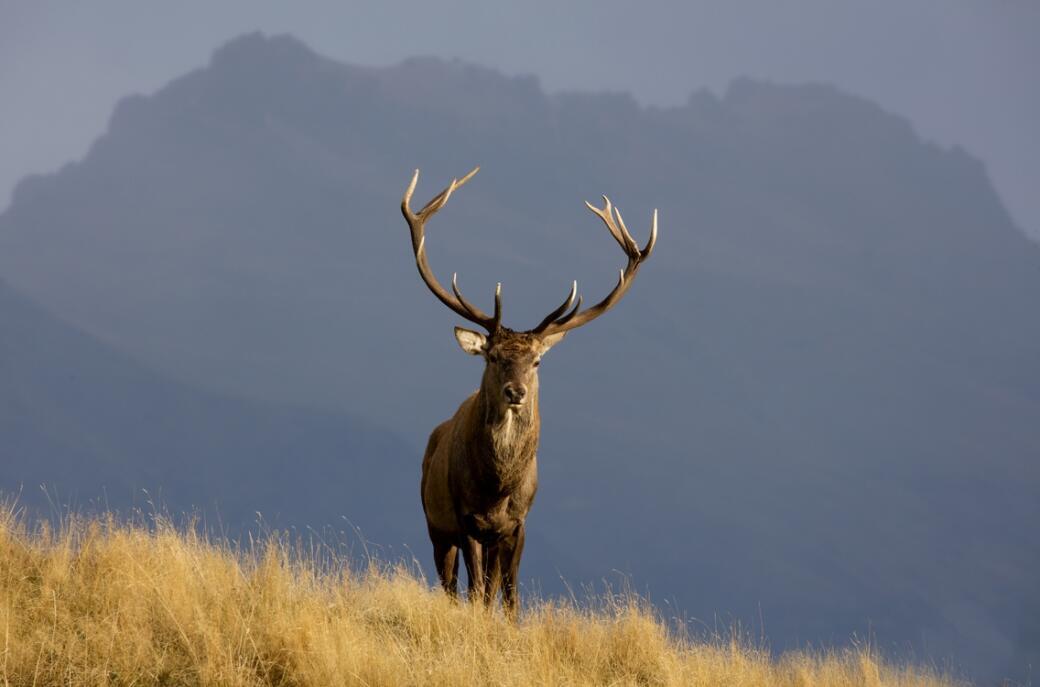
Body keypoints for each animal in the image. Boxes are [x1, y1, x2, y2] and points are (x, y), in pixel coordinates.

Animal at [401, 167, 657, 615]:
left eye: (536, 361)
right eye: (492, 356)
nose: (516, 392)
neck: (497, 490)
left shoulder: (518, 525)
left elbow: (509, 594)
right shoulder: (465, 519)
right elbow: (477, 592)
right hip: (435, 523)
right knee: (451, 585)